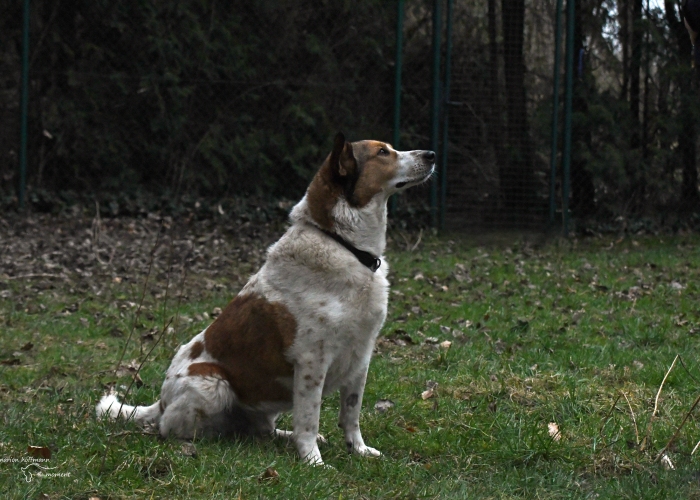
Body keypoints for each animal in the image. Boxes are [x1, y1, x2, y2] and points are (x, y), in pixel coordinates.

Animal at [95, 132, 434, 464]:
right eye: (382, 153)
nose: (431, 154)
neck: (344, 245)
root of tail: (161, 402)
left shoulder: (360, 357)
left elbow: (351, 414)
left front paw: (358, 451)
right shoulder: (311, 361)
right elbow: (309, 420)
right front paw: (312, 461)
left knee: (262, 429)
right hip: (212, 383)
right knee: (170, 428)